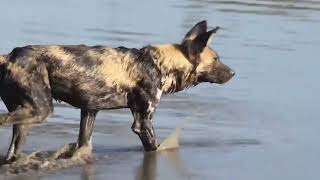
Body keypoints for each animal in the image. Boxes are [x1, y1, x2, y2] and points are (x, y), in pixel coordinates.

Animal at [0, 20, 234, 161]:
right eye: (216, 59)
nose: (233, 73)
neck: (159, 64)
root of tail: (9, 56)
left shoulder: (89, 111)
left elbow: (83, 144)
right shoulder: (143, 123)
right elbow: (155, 148)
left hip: (26, 120)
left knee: (12, 150)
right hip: (42, 110)